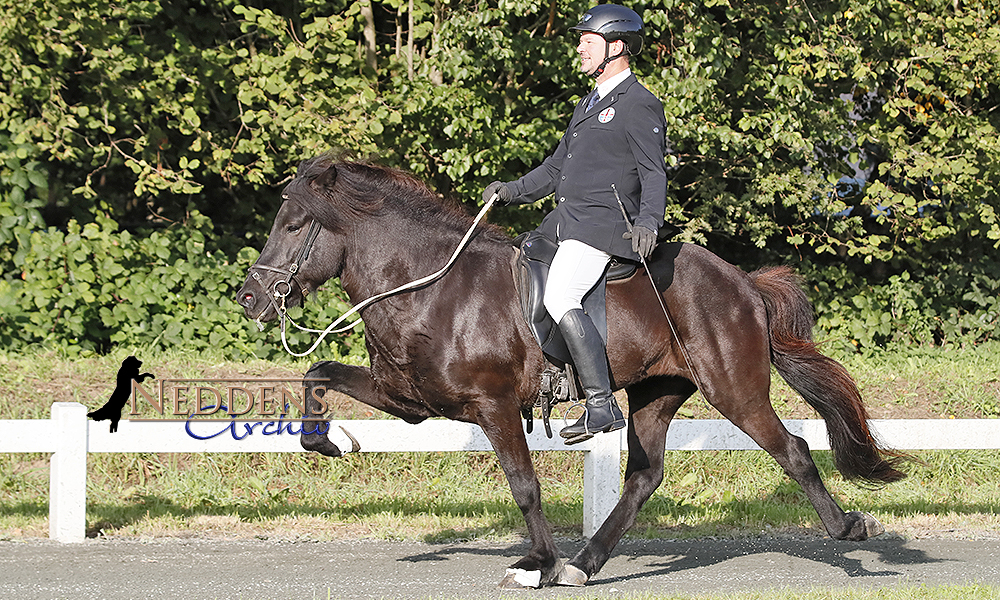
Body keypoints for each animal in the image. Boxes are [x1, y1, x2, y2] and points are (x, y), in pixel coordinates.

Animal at [236, 156, 908, 592]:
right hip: (657, 392)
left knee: (792, 450)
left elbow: (524, 485)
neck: (430, 285)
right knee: (643, 477)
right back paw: (588, 562)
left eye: (294, 226)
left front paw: (538, 563)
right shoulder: (409, 400)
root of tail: (741, 280)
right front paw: (324, 442)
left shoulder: (494, 405)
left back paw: (848, 529)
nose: (250, 299)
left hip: (734, 390)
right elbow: (319, 372)